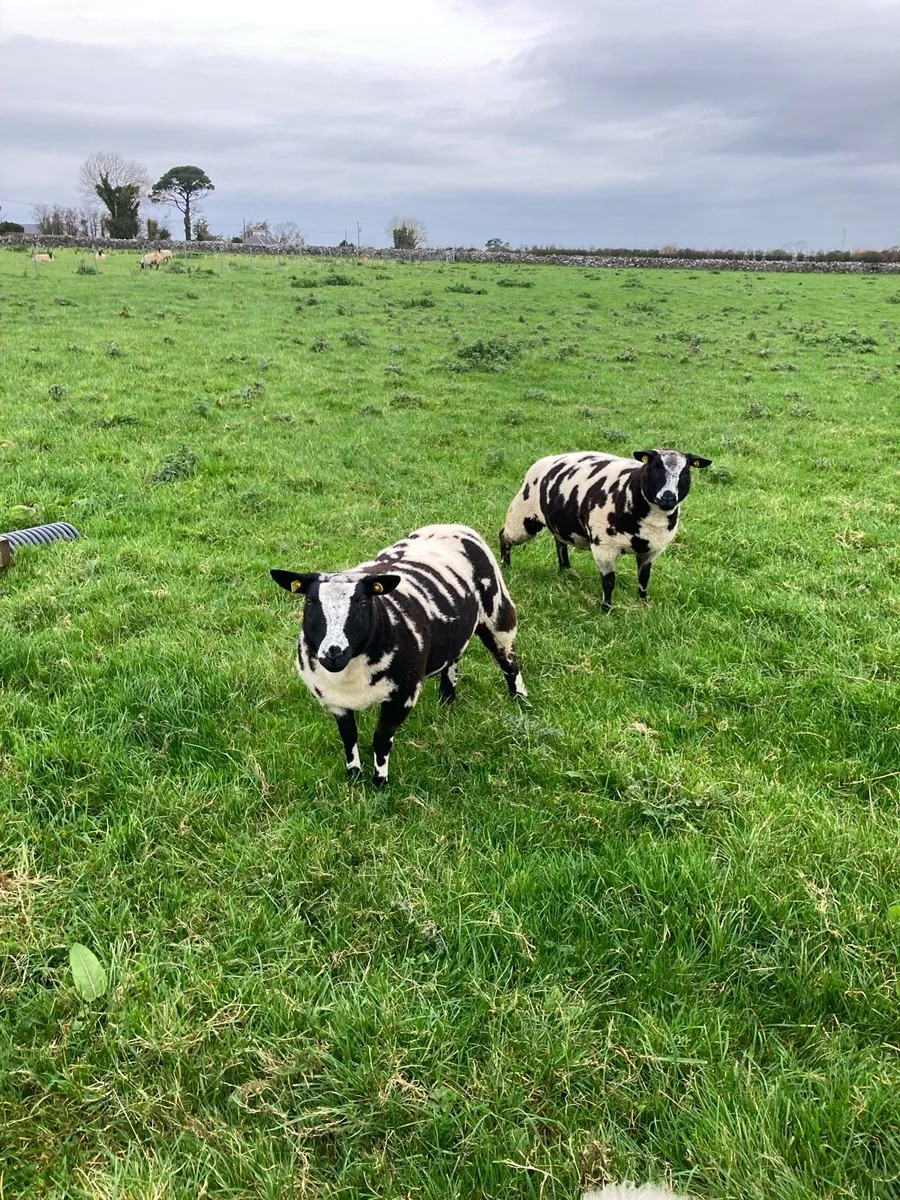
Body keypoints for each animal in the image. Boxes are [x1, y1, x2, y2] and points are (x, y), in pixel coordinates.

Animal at [271, 524, 526, 787]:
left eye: (363, 602)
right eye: (310, 602)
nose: (333, 652)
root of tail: (451, 525)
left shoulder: (403, 696)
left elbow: (381, 739)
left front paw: (380, 782)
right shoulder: (334, 701)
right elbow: (349, 737)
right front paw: (354, 775)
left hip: (497, 613)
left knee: (508, 660)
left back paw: (520, 698)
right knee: (453, 658)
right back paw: (446, 700)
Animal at [500, 448, 712, 610]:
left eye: (686, 471)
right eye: (655, 466)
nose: (668, 496)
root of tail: (545, 460)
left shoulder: (651, 550)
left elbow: (644, 579)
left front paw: (643, 604)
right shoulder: (604, 546)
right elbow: (609, 582)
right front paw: (606, 609)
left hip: (558, 521)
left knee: (559, 541)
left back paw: (566, 569)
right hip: (523, 516)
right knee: (504, 535)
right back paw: (505, 565)